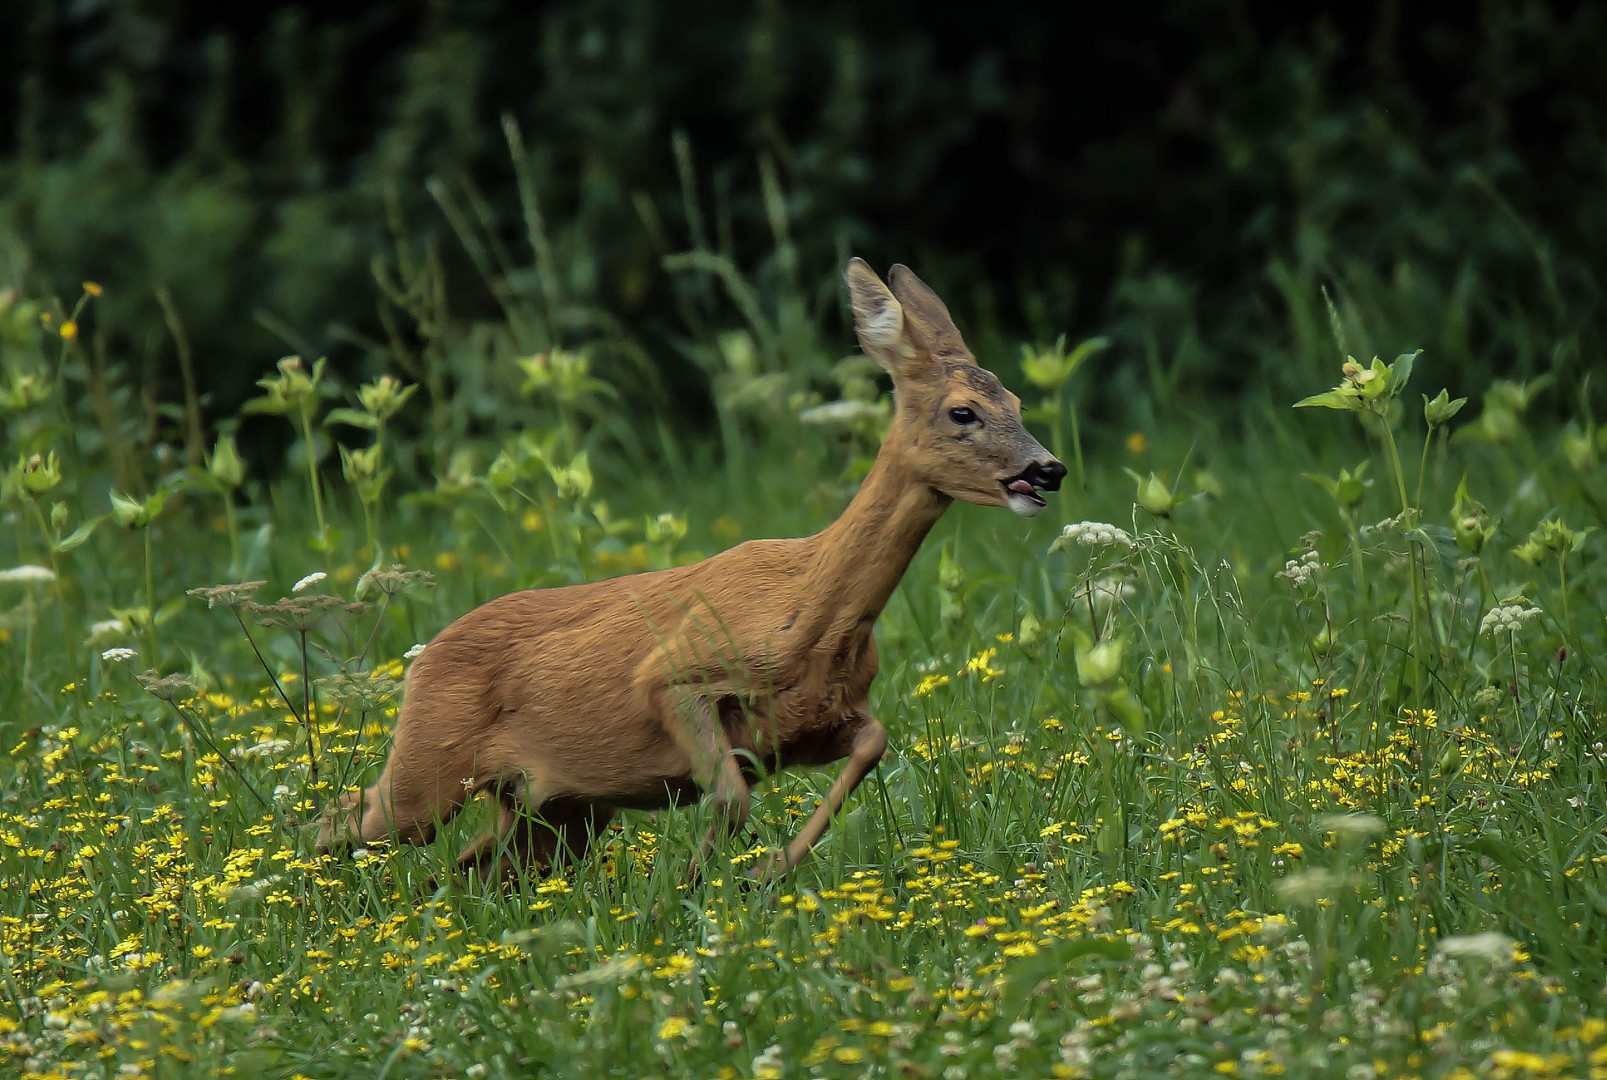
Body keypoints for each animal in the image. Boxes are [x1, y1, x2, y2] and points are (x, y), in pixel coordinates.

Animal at [313, 257, 1067, 880]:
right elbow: (729, 797)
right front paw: (709, 883)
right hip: (429, 769)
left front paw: (760, 871)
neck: (813, 612)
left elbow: (872, 744)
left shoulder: (814, 724)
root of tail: (421, 659)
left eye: (1019, 404)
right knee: (345, 815)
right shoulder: (678, 671)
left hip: (558, 809)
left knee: (474, 862)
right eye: (962, 412)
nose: (1048, 470)